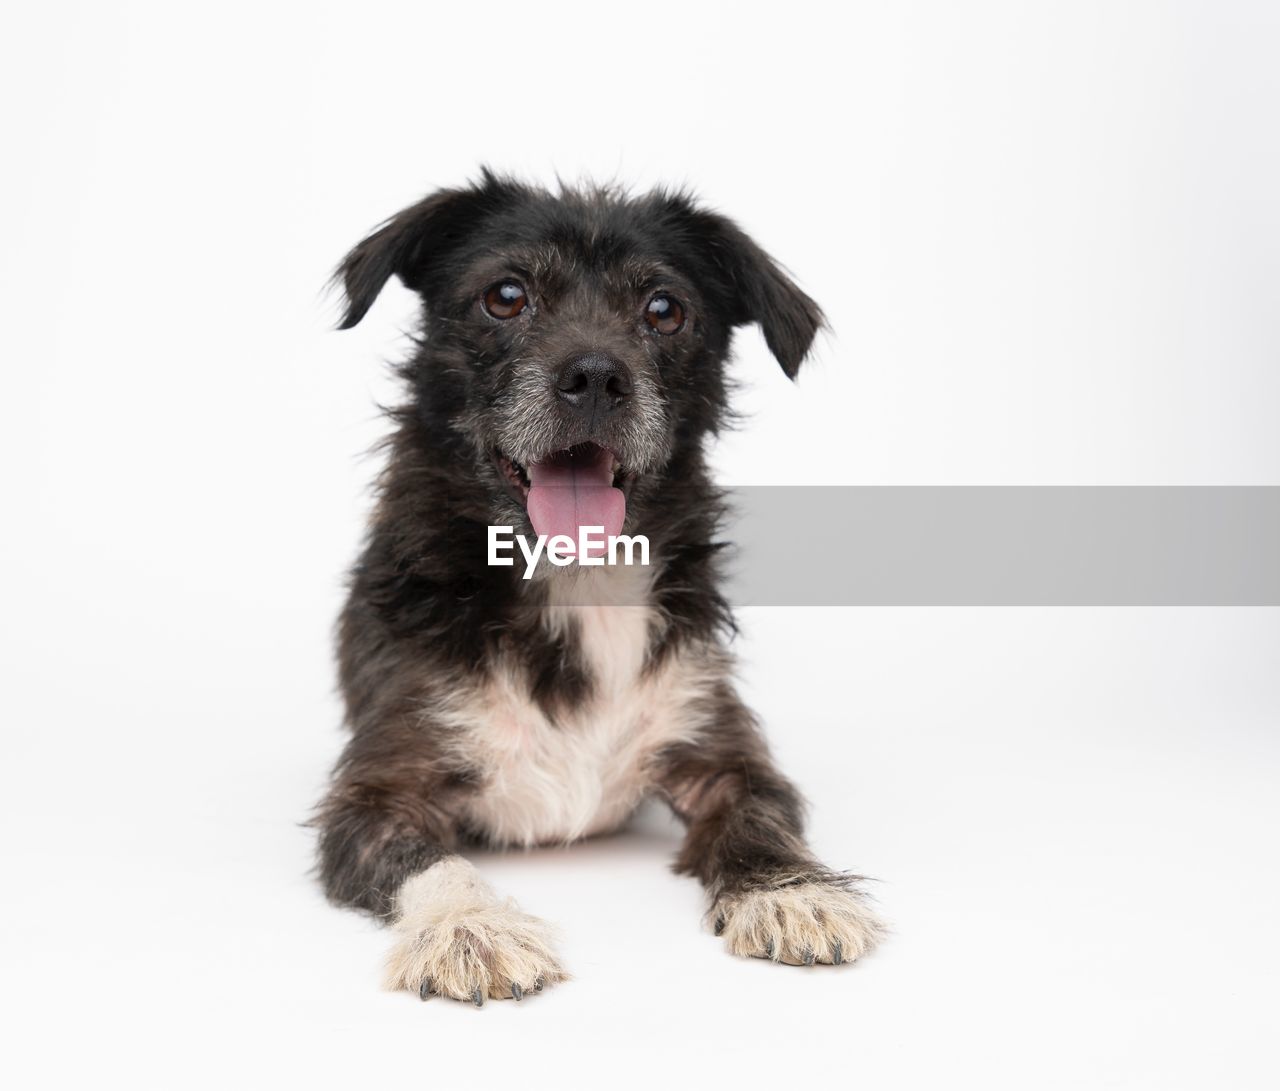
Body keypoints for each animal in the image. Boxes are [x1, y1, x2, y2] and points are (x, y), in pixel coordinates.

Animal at [314, 172, 885, 1003]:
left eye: (665, 309)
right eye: (506, 296)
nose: (594, 376)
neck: (574, 576)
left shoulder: (722, 753)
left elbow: (759, 820)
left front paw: (792, 891)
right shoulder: (377, 794)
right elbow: (429, 860)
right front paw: (467, 926)